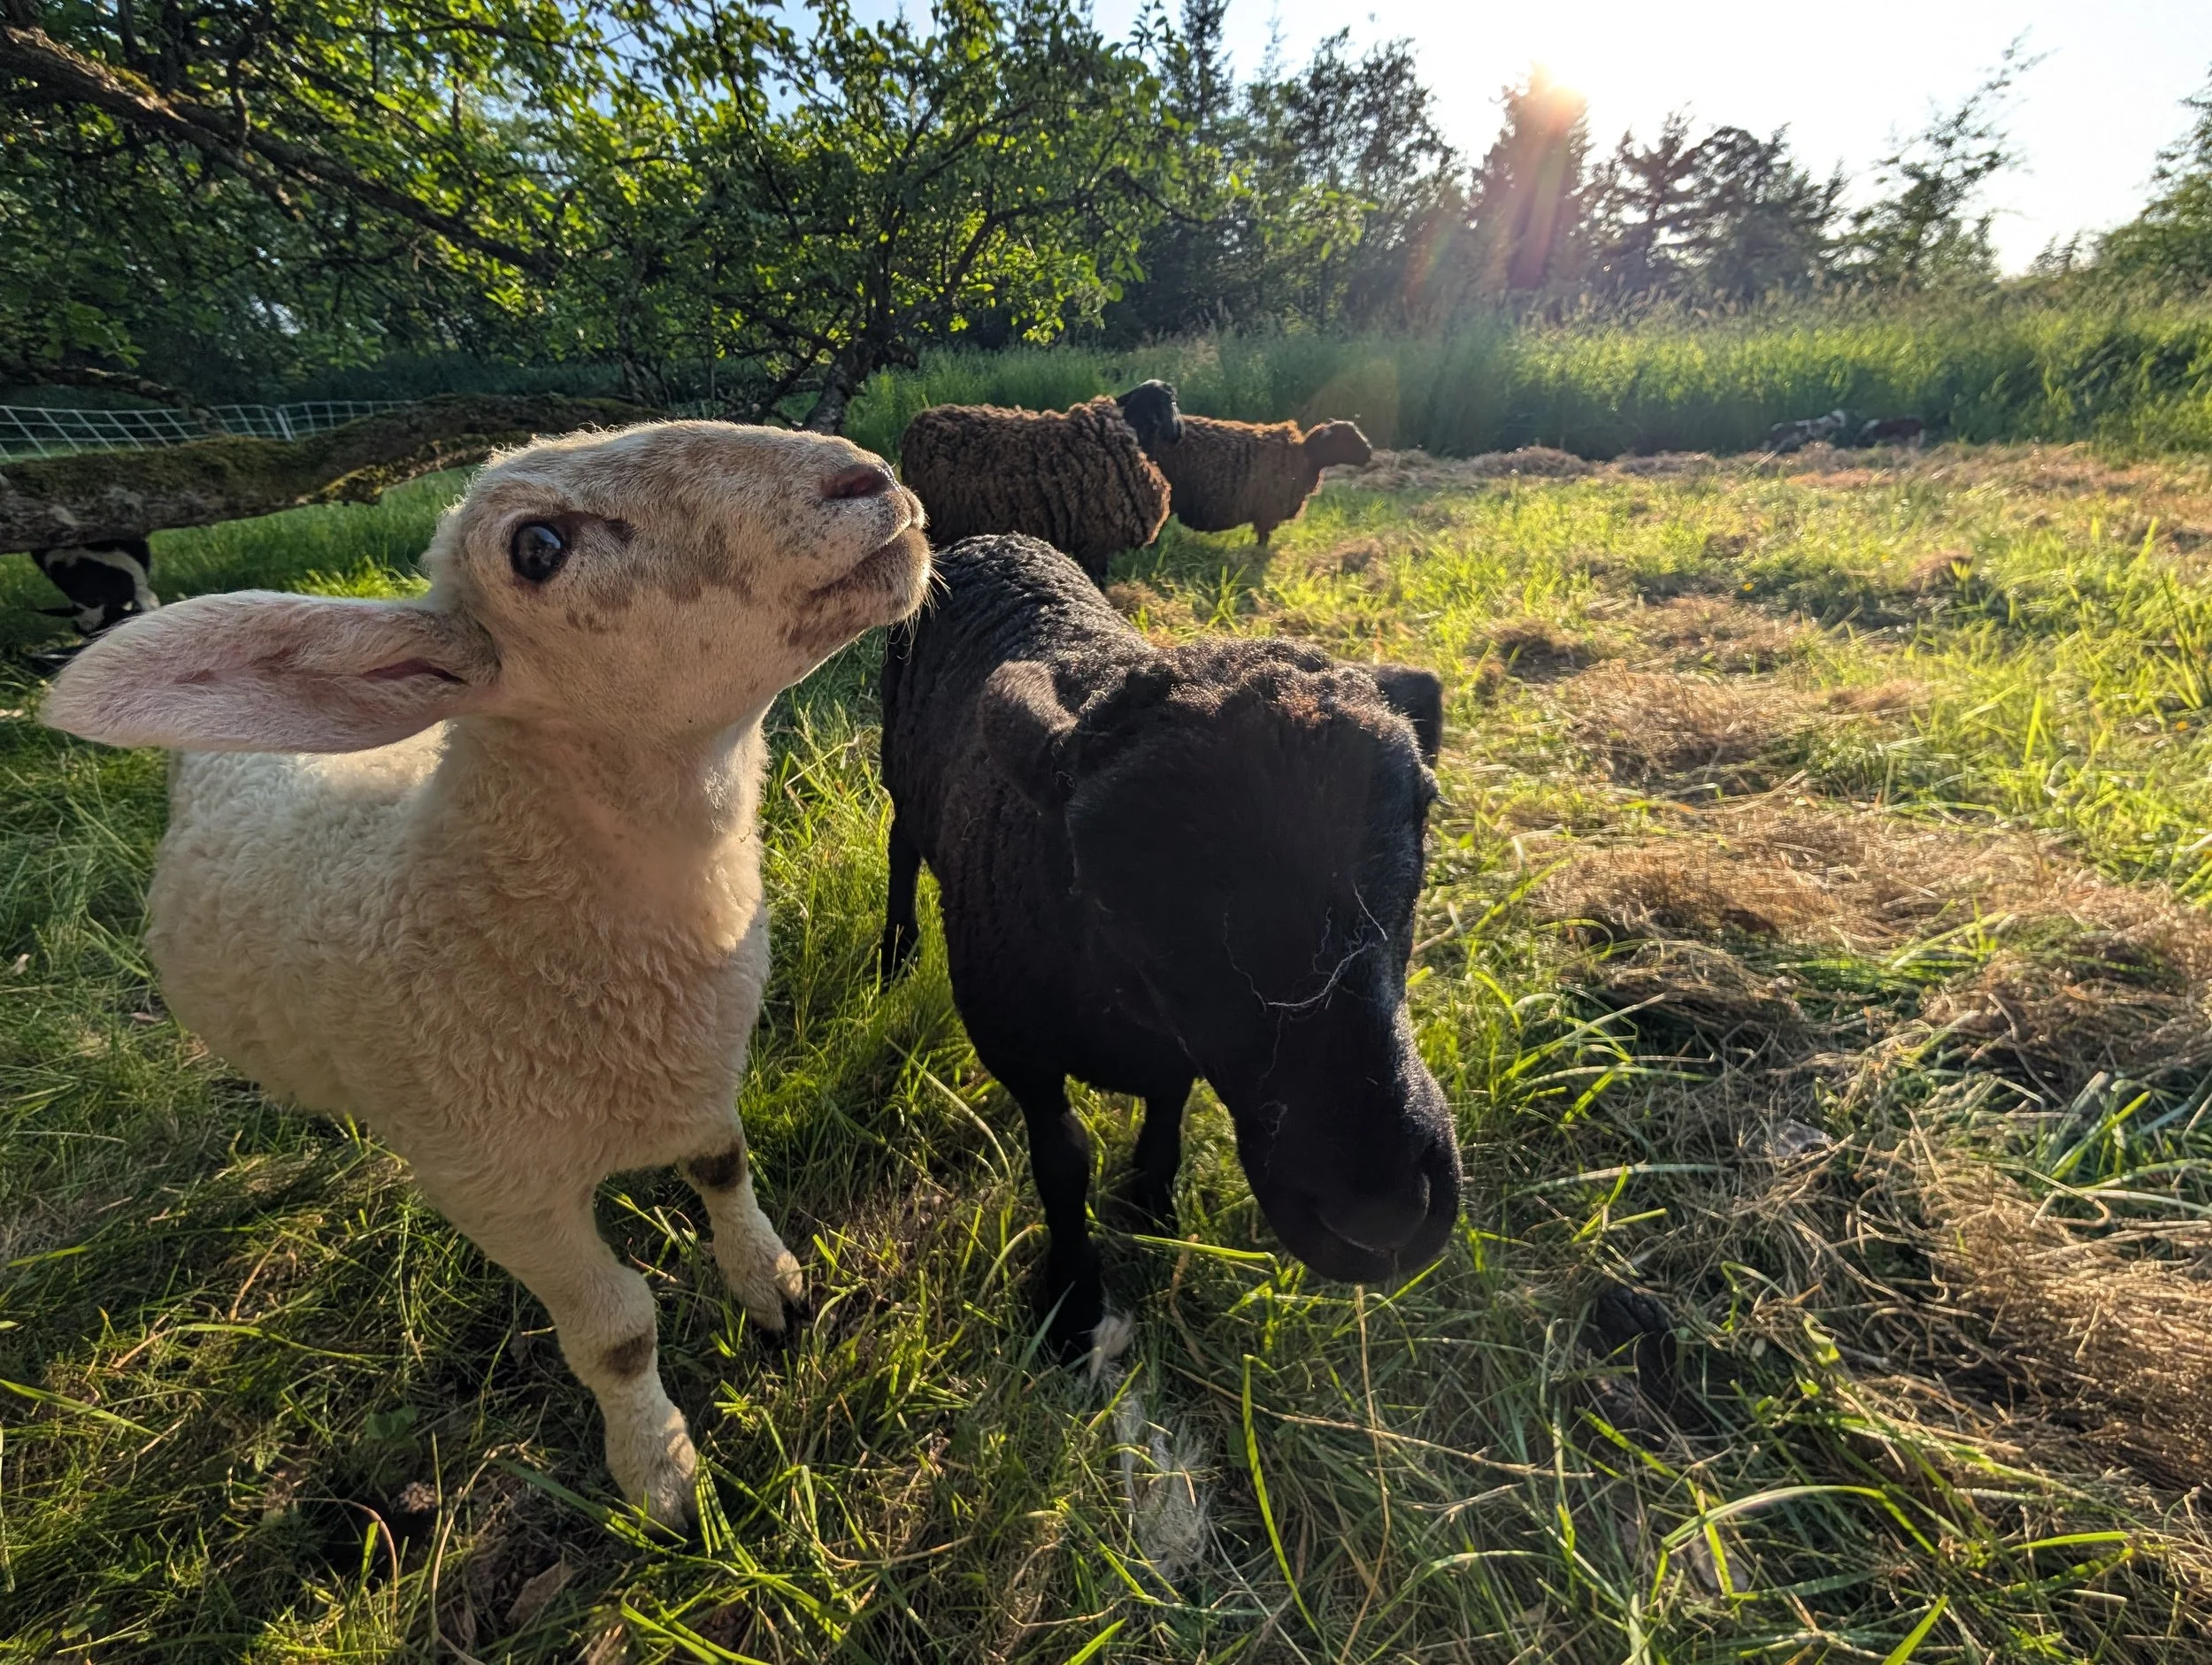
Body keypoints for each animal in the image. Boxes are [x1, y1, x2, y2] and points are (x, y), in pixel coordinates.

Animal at [877, 532, 1461, 1354]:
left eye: (1424, 805)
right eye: (1107, 871)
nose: (1380, 1210)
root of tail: (995, 537)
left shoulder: (1176, 1050)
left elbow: (1169, 1107)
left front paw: (1153, 1206)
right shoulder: (1016, 1050)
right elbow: (1063, 1164)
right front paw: (1073, 1304)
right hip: (898, 763)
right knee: (901, 843)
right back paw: (895, 952)